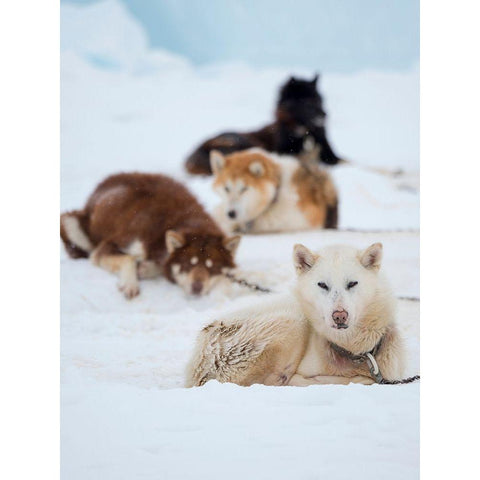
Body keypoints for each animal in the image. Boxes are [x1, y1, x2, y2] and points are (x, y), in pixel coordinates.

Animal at [60, 172, 240, 298]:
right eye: (188, 264)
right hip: (72, 223)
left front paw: (146, 268)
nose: (197, 287)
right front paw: (130, 284)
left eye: (212, 267)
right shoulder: (113, 244)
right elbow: (128, 259)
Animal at [186, 73, 344, 174]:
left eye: (320, 100)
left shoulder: (332, 156)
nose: (325, 115)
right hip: (248, 143)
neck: (304, 134)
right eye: (306, 102)